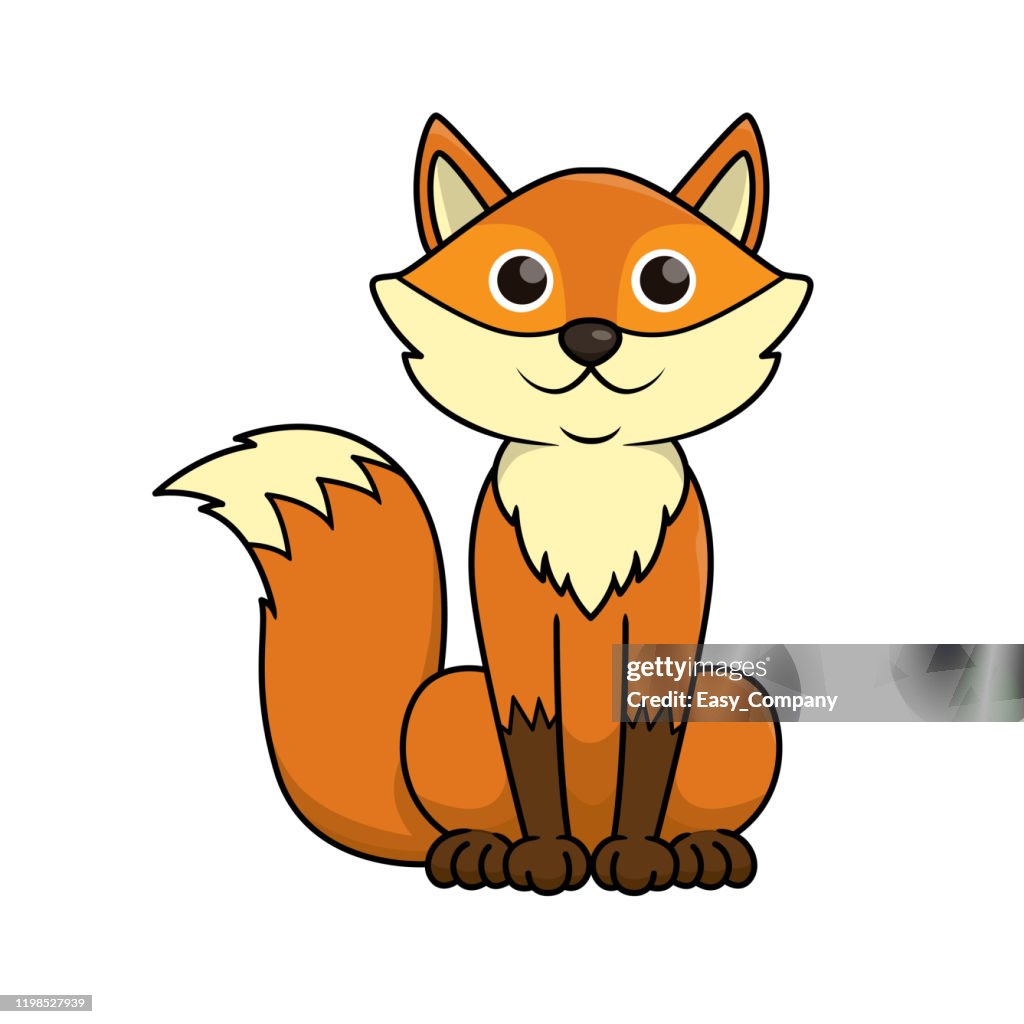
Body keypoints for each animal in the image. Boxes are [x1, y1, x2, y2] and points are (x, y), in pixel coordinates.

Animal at [157, 113, 812, 895]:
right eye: (520, 280)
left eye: (667, 279)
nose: (591, 338)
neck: (589, 481)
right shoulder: (514, 635)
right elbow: (530, 740)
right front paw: (543, 855)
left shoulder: (664, 637)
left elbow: (649, 743)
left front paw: (640, 855)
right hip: (447, 706)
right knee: (464, 824)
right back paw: (483, 852)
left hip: (737, 705)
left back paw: (695, 849)